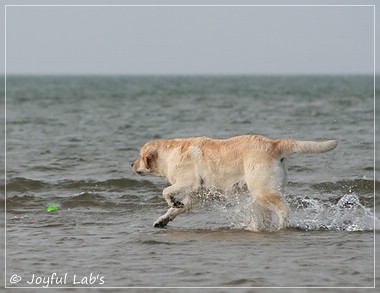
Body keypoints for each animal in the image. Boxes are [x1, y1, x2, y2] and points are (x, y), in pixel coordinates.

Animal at [131, 135, 338, 228]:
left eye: (140, 156)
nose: (131, 164)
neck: (168, 155)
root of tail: (273, 144)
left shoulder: (190, 182)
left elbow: (166, 191)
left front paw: (172, 200)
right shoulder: (196, 195)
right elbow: (176, 209)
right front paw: (163, 219)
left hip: (262, 190)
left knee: (283, 209)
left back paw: (282, 226)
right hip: (261, 193)